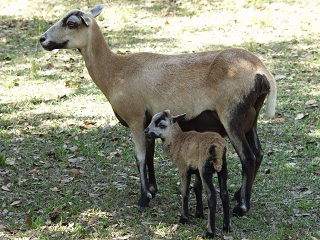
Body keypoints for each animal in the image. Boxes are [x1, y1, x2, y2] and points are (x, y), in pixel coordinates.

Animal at [40, 3, 278, 216]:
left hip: (232, 117)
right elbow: (150, 154)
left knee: (248, 157)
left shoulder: (135, 118)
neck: (115, 71)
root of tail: (262, 71)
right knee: (259, 153)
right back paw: (239, 196)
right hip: (250, 118)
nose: (42, 39)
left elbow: (140, 156)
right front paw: (153, 190)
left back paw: (242, 207)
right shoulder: (148, 123)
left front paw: (143, 198)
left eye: (71, 23)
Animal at [144, 109, 230, 238]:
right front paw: (199, 214)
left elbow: (185, 191)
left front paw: (184, 218)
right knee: (224, 193)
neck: (178, 141)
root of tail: (218, 146)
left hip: (205, 169)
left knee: (212, 196)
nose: (145, 131)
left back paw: (210, 232)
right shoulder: (197, 171)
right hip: (223, 168)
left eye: (161, 125)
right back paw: (226, 227)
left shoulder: (184, 168)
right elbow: (197, 188)